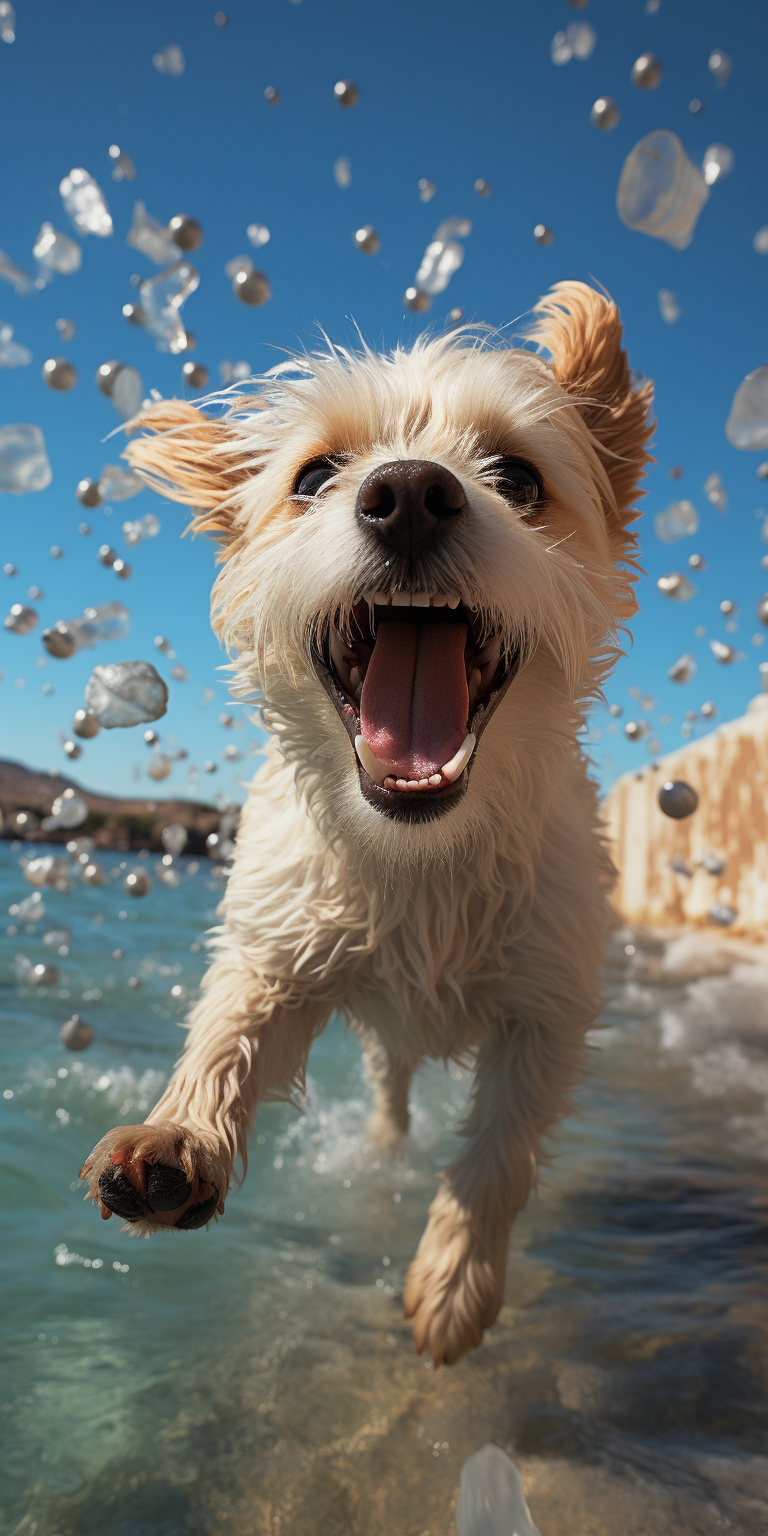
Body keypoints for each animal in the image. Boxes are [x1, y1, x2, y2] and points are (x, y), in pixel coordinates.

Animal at [81, 282, 651, 1363]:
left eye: (518, 476)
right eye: (313, 476)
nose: (412, 492)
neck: (420, 852)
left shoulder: (548, 1005)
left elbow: (501, 1152)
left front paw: (457, 1280)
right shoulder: (279, 943)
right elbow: (227, 1030)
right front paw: (181, 1136)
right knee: (389, 1092)